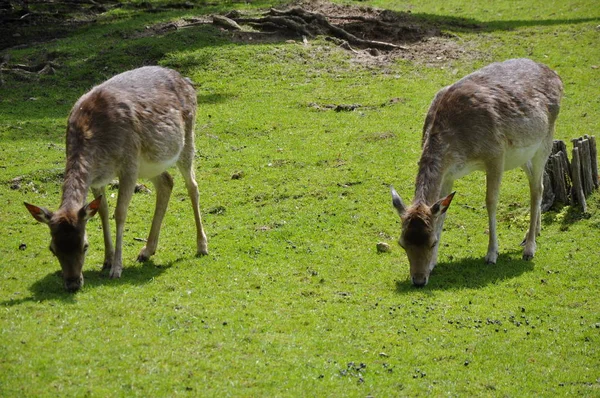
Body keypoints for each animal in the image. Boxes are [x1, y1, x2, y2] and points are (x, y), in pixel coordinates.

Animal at [24, 66, 209, 292]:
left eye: (84, 246)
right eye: (52, 248)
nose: (73, 283)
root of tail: (187, 81)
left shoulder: (129, 164)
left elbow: (120, 213)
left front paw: (116, 269)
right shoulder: (97, 179)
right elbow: (102, 211)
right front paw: (107, 260)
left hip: (186, 139)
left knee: (193, 186)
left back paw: (201, 246)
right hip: (150, 164)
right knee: (166, 182)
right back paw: (147, 250)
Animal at [390, 57, 564, 286]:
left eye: (432, 242)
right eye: (402, 243)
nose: (418, 280)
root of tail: (556, 75)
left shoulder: (496, 154)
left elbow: (491, 201)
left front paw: (491, 255)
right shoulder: (448, 174)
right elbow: (443, 212)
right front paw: (433, 263)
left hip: (545, 140)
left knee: (536, 189)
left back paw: (529, 249)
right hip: (523, 155)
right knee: (539, 186)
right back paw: (533, 232)